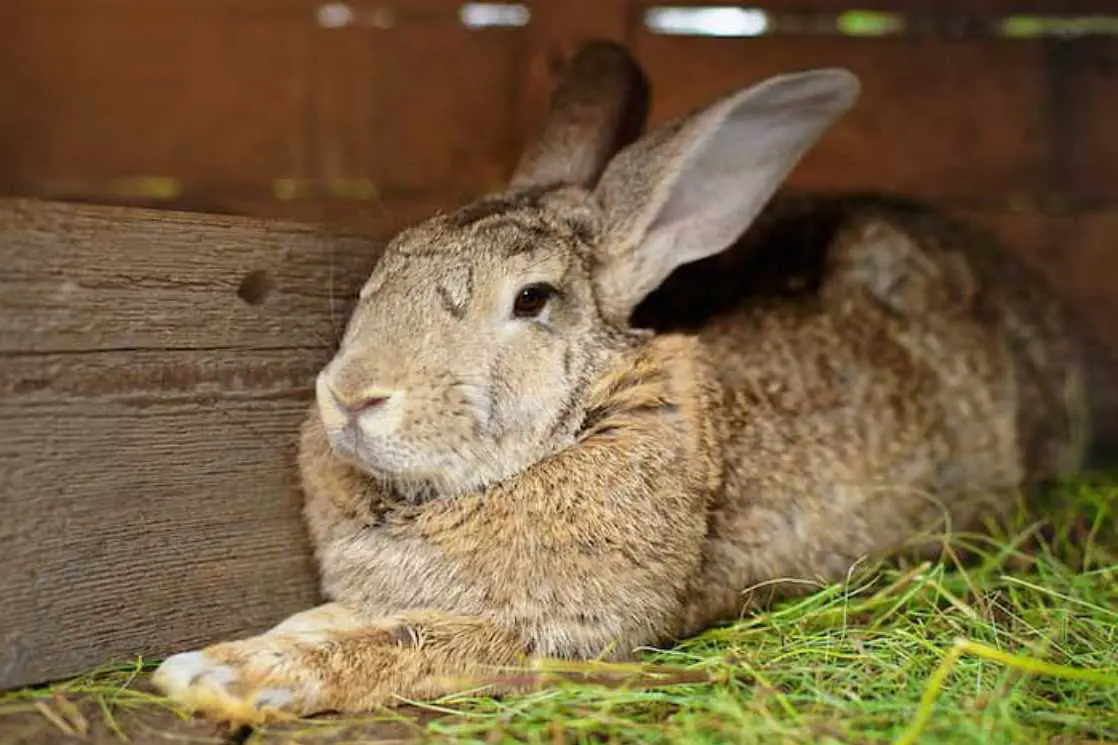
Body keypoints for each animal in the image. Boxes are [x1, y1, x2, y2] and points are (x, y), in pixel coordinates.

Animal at [150, 39, 1100, 720]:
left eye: (532, 299)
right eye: (387, 265)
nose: (352, 395)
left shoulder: (568, 635)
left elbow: (410, 640)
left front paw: (222, 674)